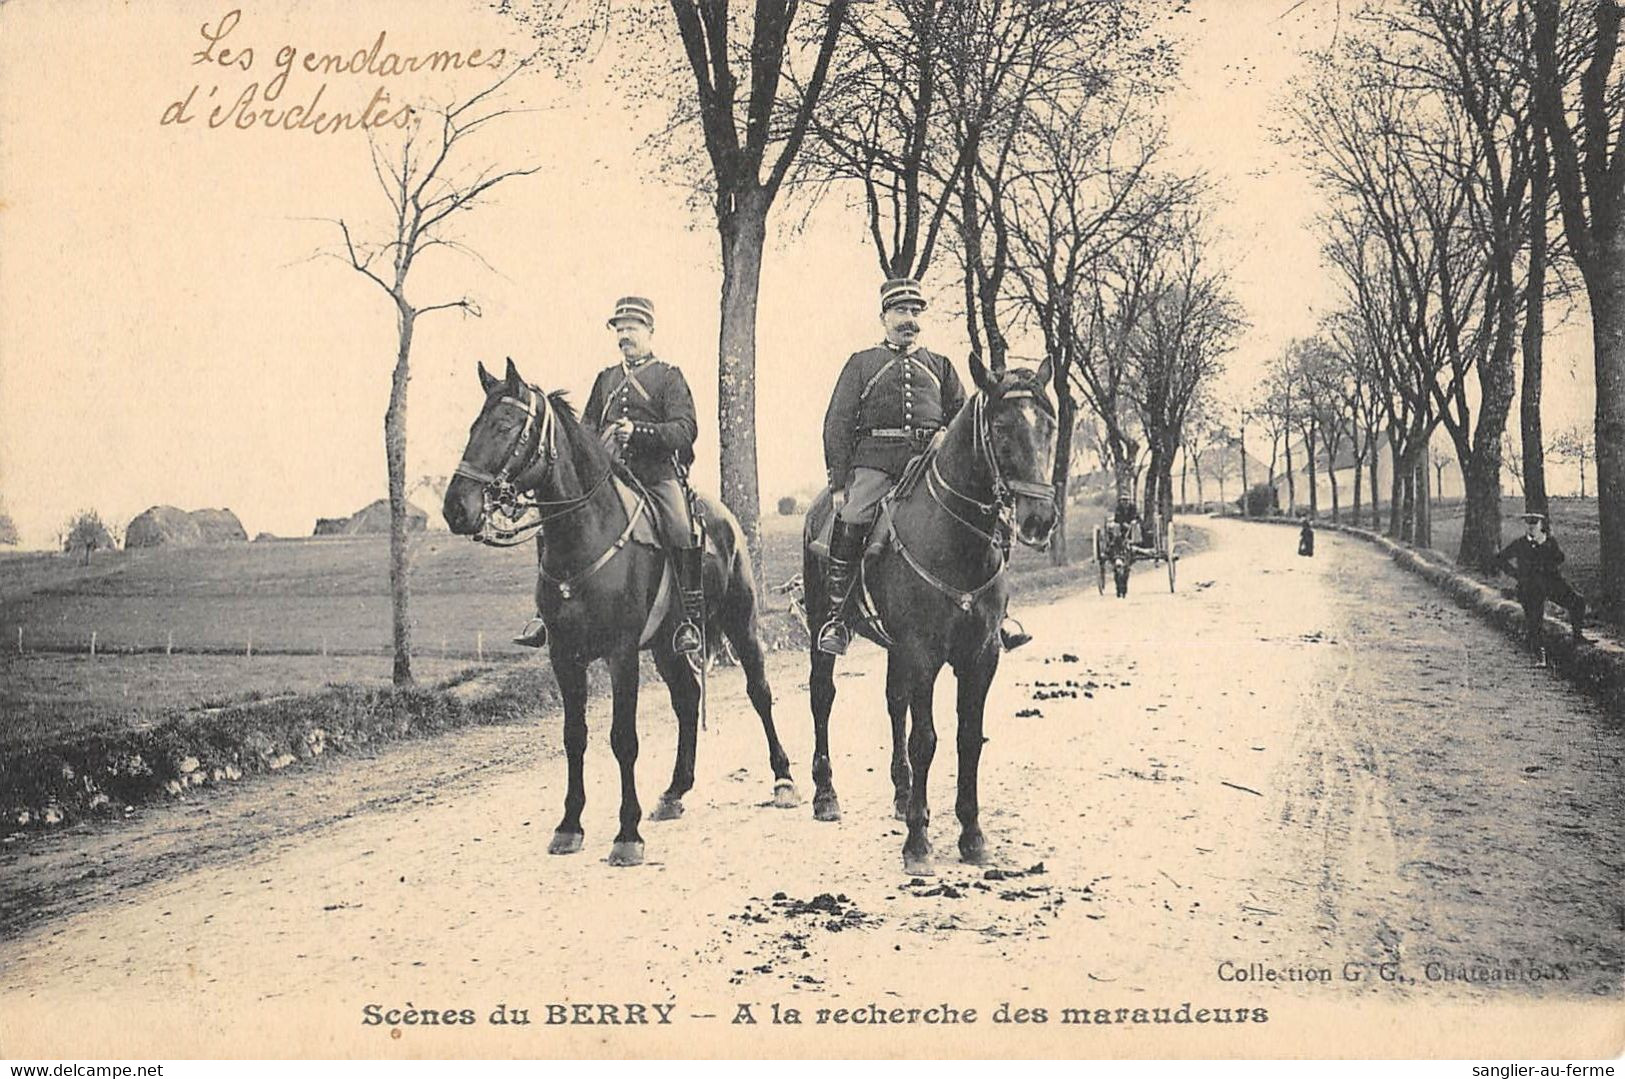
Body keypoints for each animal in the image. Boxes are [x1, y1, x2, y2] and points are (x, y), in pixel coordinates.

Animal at [445, 357, 799, 864]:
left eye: (506, 425)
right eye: (475, 425)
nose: (456, 508)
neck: (584, 536)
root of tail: (726, 517)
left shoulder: (621, 653)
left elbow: (622, 739)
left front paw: (627, 834)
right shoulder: (564, 656)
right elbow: (574, 737)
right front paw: (569, 825)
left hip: (741, 625)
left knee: (760, 692)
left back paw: (784, 779)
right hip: (668, 647)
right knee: (687, 700)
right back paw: (675, 791)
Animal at [802, 354, 1059, 877]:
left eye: (1050, 425)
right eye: (1001, 427)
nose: (1039, 521)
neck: (955, 538)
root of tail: (819, 507)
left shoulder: (979, 657)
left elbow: (968, 738)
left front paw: (971, 834)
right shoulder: (923, 654)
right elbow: (926, 739)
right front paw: (918, 842)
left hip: (895, 649)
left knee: (893, 702)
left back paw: (902, 794)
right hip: (823, 629)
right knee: (823, 697)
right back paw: (826, 794)